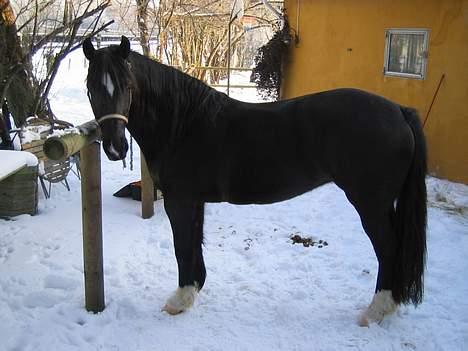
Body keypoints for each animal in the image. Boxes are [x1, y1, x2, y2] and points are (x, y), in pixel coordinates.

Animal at [82, 37, 426, 326]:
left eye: (128, 86)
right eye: (91, 88)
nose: (115, 148)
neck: (182, 123)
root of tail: (399, 110)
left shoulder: (180, 200)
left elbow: (182, 247)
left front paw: (178, 301)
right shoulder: (195, 201)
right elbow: (194, 245)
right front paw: (192, 292)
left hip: (371, 205)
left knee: (388, 249)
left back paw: (374, 312)